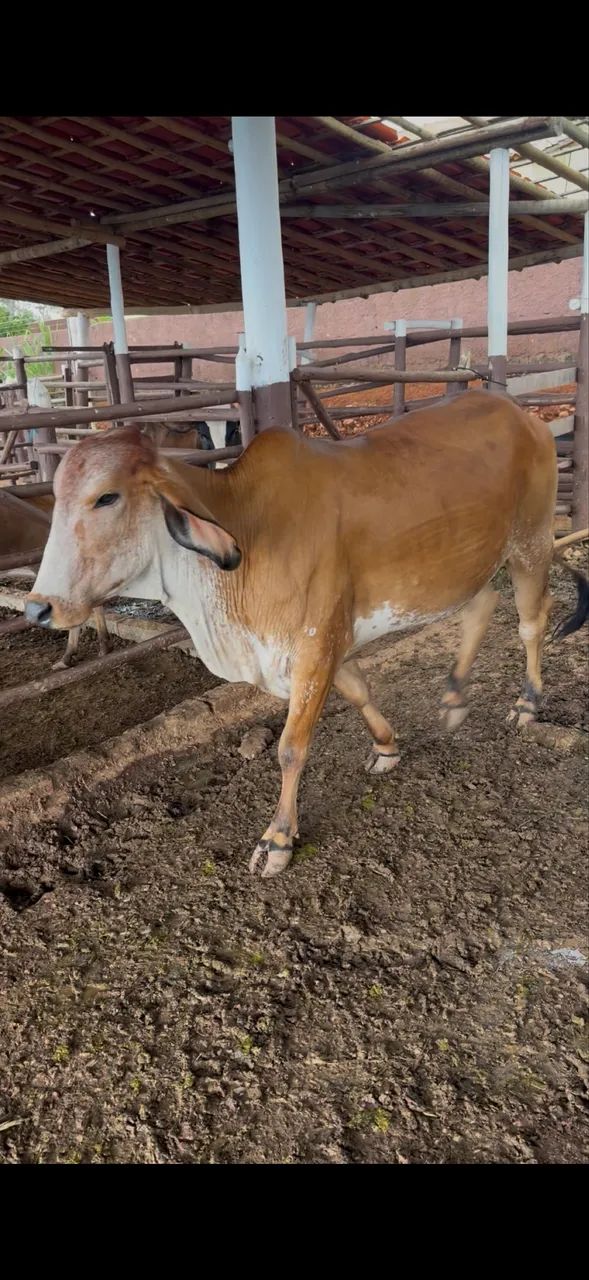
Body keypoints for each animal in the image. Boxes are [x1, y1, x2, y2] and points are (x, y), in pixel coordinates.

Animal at [24, 391, 588, 877]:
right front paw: (387, 747)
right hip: (462, 566)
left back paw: (528, 702)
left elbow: (291, 747)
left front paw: (277, 839)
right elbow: (359, 691)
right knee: (482, 607)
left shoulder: (316, 643)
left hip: (531, 542)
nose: (38, 607)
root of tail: (524, 414)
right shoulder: (330, 642)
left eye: (106, 498)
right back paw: (453, 697)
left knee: (531, 621)